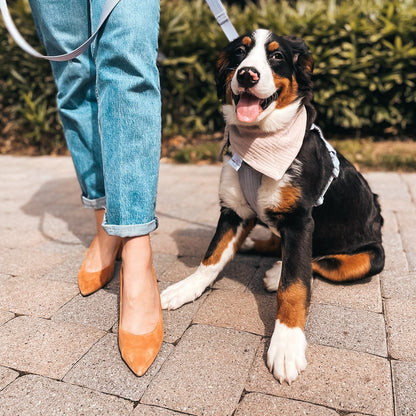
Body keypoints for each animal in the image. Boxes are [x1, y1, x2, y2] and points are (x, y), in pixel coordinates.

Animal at [159, 29, 384, 386]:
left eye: (277, 56)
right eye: (239, 52)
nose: (247, 75)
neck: (259, 145)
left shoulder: (300, 223)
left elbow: (294, 286)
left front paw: (287, 344)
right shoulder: (234, 212)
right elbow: (211, 258)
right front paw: (186, 288)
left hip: (371, 258)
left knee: (319, 262)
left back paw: (276, 269)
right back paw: (256, 245)